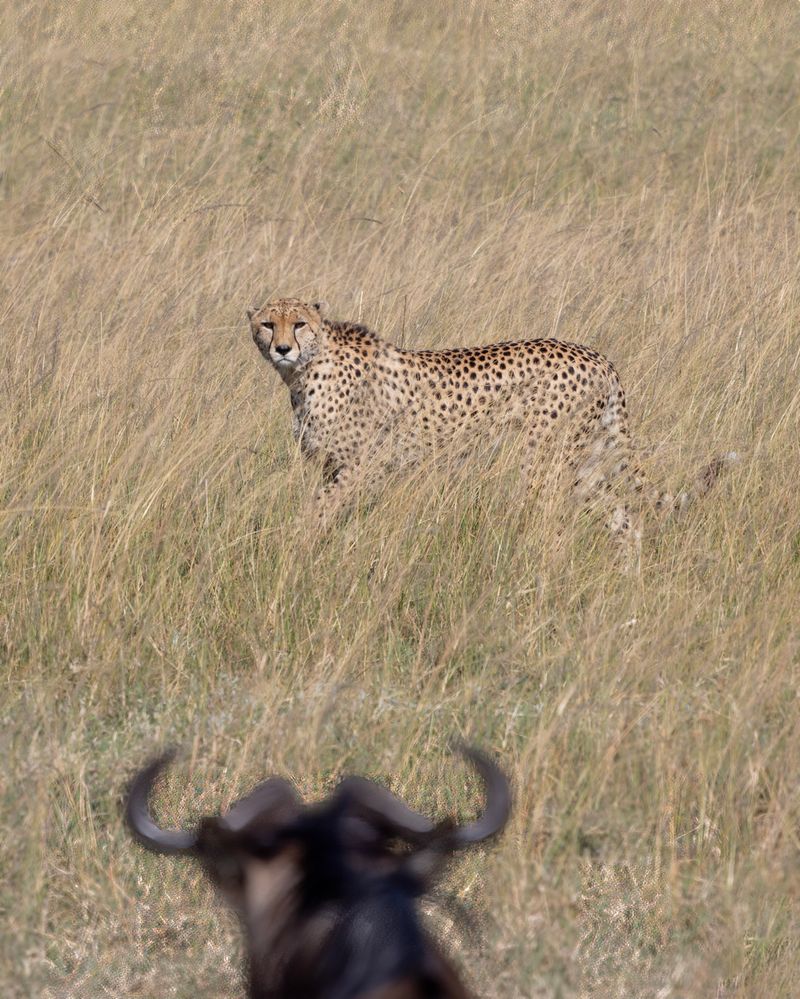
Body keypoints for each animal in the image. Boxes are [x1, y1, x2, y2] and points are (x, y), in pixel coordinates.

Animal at [247, 298, 736, 540]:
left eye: (300, 324)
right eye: (268, 324)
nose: (282, 348)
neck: (305, 370)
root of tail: (596, 355)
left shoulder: (359, 466)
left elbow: (317, 511)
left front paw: (298, 547)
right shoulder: (334, 467)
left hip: (545, 459)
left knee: (554, 517)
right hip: (585, 461)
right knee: (625, 519)